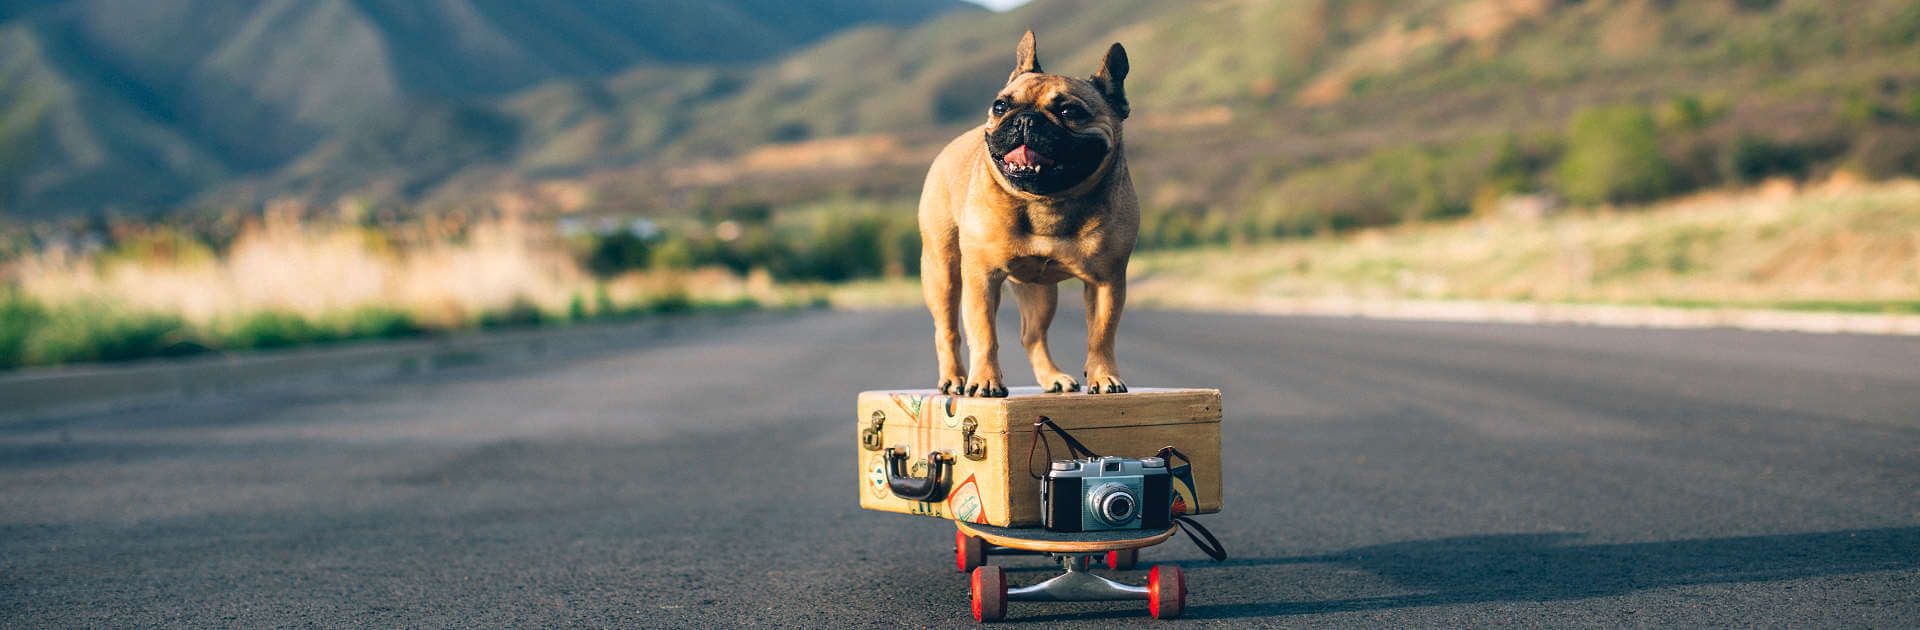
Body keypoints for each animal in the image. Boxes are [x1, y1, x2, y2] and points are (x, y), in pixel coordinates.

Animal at [917, 30, 1128, 399]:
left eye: (1070, 110)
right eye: (1000, 105)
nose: (1025, 119)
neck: (1048, 200)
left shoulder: (1107, 281)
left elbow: (1102, 334)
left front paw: (1103, 377)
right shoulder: (982, 278)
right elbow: (984, 333)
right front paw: (985, 381)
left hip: (1040, 292)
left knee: (1032, 335)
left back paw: (1052, 378)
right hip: (942, 272)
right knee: (947, 329)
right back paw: (955, 378)